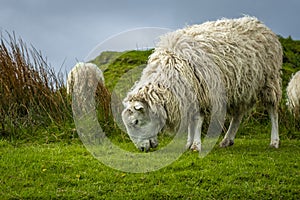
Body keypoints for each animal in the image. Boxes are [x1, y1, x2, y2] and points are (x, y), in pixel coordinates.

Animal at [120, 16, 282, 152]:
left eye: (135, 121)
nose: (142, 149)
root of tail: (258, 23)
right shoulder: (187, 96)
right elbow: (191, 123)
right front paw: (188, 144)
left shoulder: (201, 93)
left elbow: (197, 121)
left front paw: (196, 145)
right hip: (242, 87)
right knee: (238, 115)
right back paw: (227, 140)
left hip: (269, 81)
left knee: (272, 111)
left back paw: (274, 141)